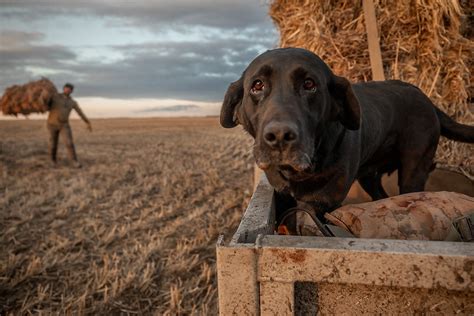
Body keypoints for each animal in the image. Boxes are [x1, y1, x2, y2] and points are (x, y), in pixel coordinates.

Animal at [219, 48, 474, 217]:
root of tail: (428, 100)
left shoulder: (321, 202)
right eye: (257, 85)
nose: (279, 136)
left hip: (413, 170)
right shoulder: (283, 193)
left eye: (309, 84)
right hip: (369, 176)